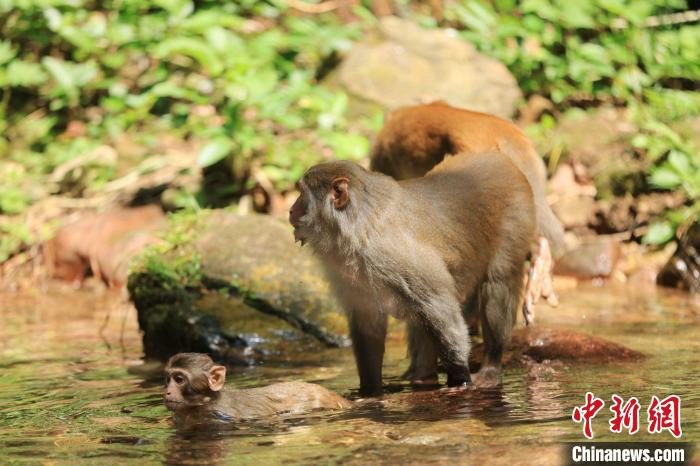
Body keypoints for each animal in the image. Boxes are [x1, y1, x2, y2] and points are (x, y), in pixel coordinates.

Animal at [290, 150, 536, 394]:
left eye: (301, 193)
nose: (291, 210)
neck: (357, 226)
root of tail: (500, 159)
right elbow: (369, 322)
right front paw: (370, 390)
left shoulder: (392, 254)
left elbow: (440, 309)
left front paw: (461, 379)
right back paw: (422, 377)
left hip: (517, 216)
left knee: (496, 284)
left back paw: (490, 367)